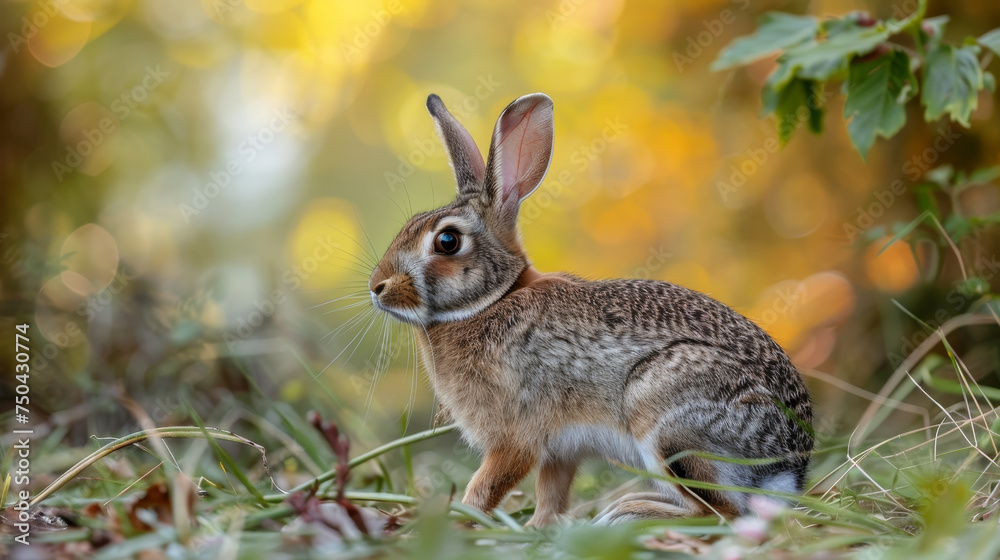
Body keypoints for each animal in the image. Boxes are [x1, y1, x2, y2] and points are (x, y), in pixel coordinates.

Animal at [368, 92, 813, 527]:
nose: (377, 288)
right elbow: (551, 492)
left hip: (665, 419)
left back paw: (628, 512)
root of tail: (789, 466)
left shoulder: (515, 436)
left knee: (722, 512)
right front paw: (540, 527)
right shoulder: (560, 449)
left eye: (447, 241)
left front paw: (460, 518)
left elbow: (486, 486)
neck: (493, 299)